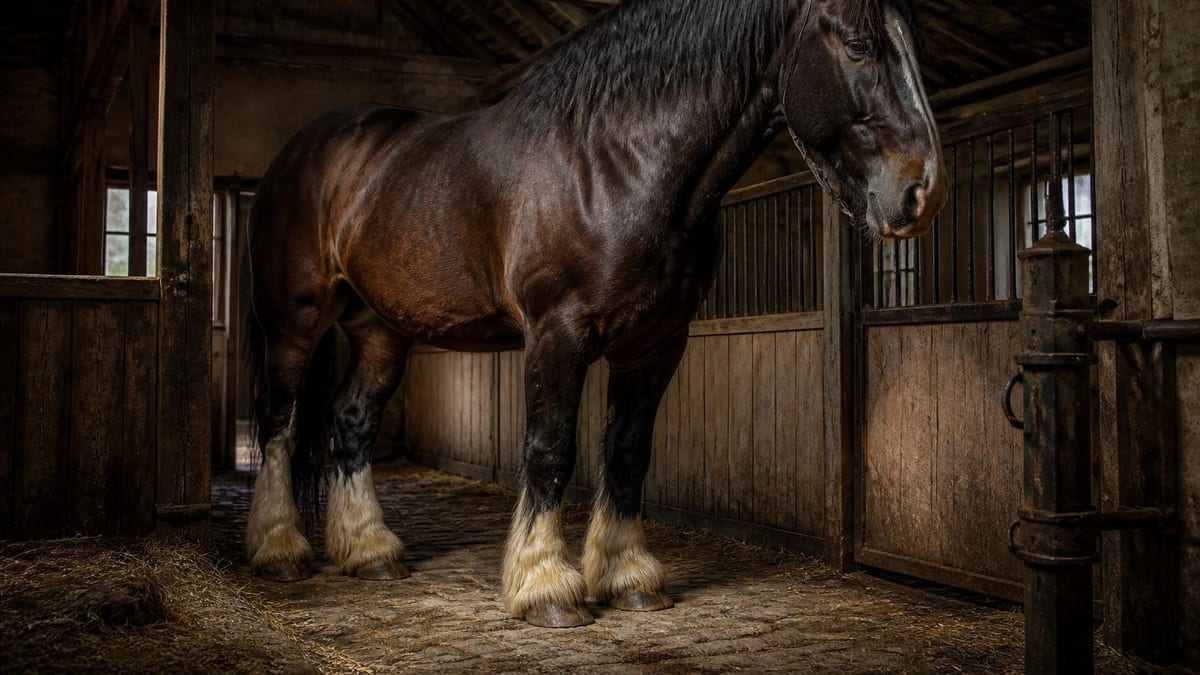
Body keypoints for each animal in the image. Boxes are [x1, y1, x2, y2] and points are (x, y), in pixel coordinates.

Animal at [244, 0, 947, 628]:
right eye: (857, 45)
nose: (924, 192)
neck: (614, 162)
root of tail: (307, 150)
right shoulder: (557, 334)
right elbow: (550, 451)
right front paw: (545, 588)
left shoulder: (657, 342)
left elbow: (628, 452)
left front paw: (628, 577)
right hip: (295, 321)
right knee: (279, 423)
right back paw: (280, 551)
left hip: (380, 330)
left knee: (351, 425)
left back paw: (370, 553)